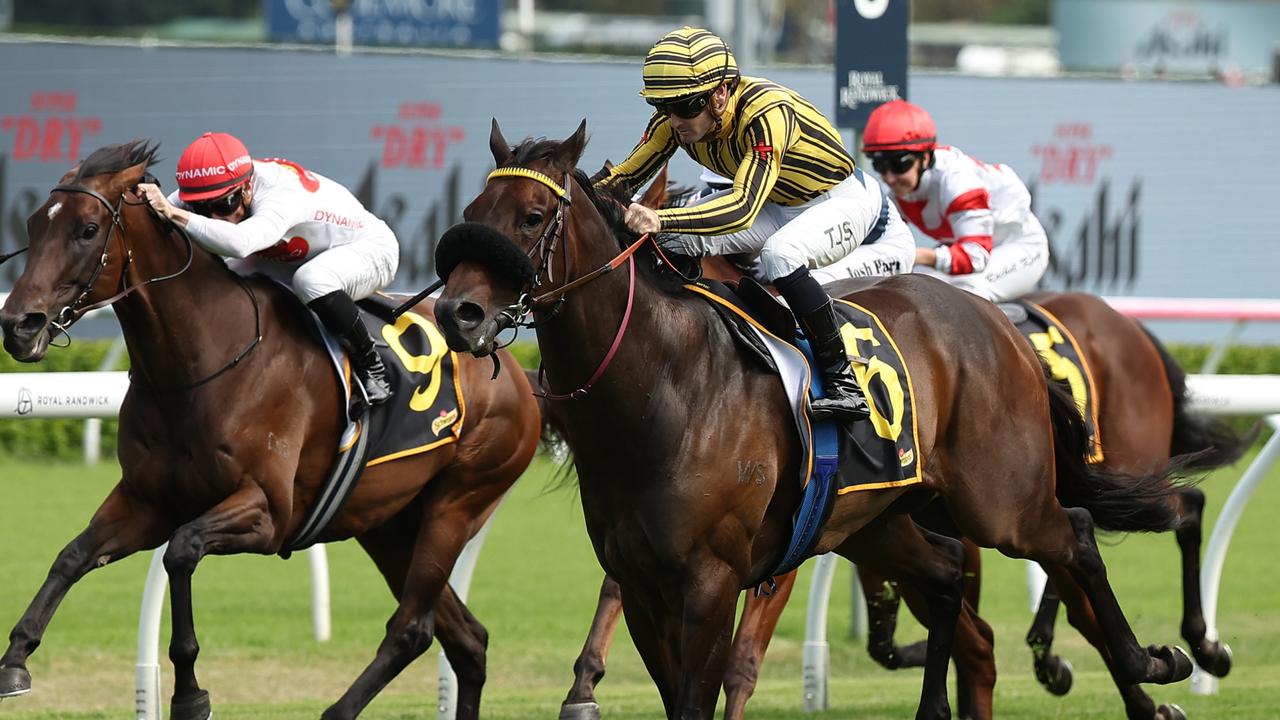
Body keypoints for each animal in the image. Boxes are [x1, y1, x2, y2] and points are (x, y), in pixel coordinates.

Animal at [0, 141, 540, 717]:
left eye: (87, 229)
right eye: (34, 223)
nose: (18, 325)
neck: (201, 362)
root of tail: (513, 372)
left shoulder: (267, 513)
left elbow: (181, 551)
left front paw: (190, 693)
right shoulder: (147, 501)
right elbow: (73, 556)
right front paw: (16, 659)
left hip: (456, 504)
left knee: (413, 629)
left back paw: (338, 709)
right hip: (387, 523)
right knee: (467, 639)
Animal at [435, 120, 1192, 712]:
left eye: (532, 216)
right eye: (472, 208)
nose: (455, 313)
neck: (665, 386)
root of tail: (998, 323)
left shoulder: (716, 579)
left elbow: (724, 678)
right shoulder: (648, 584)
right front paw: (583, 690)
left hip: (1001, 502)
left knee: (1079, 536)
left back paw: (1157, 662)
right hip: (884, 520)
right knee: (956, 583)